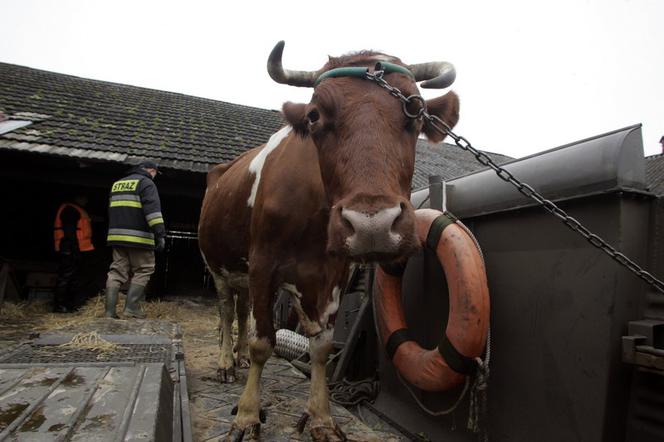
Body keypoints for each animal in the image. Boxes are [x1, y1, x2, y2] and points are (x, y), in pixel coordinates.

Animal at [197, 40, 456, 438]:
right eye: (315, 116)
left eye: (416, 111)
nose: (372, 224)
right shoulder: (262, 265)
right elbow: (263, 341)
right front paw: (246, 414)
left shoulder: (333, 273)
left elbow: (320, 345)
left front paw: (320, 417)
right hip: (218, 265)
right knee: (226, 312)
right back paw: (227, 362)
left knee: (241, 310)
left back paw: (236, 357)